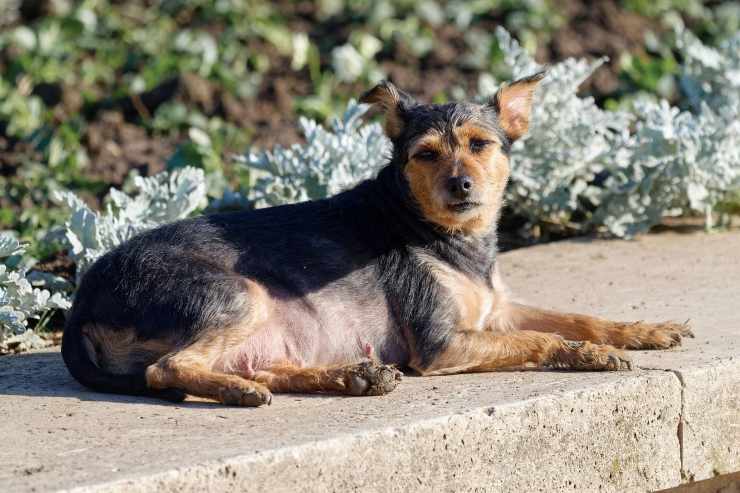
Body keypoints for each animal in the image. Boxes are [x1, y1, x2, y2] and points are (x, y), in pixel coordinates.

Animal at [62, 72, 692, 404]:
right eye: (426, 154)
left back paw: (350, 375)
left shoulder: (497, 311)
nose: (461, 184)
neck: (450, 237)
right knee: (166, 369)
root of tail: (81, 302)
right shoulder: (444, 344)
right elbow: (544, 339)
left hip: (266, 328)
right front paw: (587, 355)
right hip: (237, 294)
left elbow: (579, 316)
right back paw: (245, 392)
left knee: (255, 364)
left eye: (481, 145)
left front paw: (643, 331)